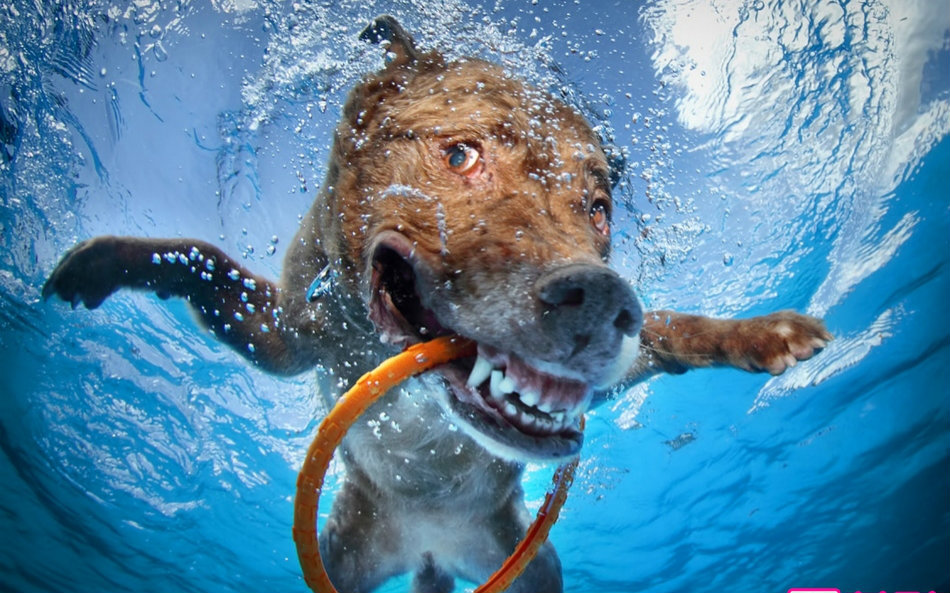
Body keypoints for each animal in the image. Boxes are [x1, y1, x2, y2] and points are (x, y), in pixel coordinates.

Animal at [44, 17, 832, 592]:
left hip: (530, 569)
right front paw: (104, 260)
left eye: (599, 207)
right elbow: (200, 255)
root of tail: (430, 550)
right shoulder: (287, 338)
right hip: (345, 558)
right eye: (460, 155)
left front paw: (765, 333)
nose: (602, 301)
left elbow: (671, 330)